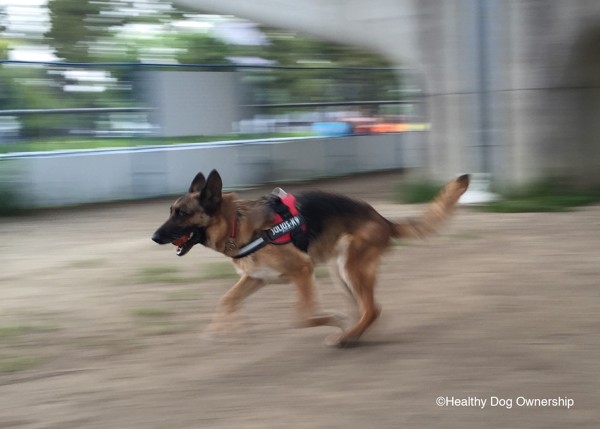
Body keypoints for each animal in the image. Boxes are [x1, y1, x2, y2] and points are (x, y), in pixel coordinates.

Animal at [151, 169, 468, 346]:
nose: (154, 237)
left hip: (349, 267)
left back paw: (346, 336)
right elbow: (226, 301)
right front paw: (225, 329)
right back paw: (355, 333)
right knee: (370, 308)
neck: (236, 223)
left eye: (182, 213)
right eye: (171, 211)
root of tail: (382, 218)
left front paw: (333, 320)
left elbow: (304, 316)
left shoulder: (302, 270)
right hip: (341, 273)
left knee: (371, 308)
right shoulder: (256, 278)